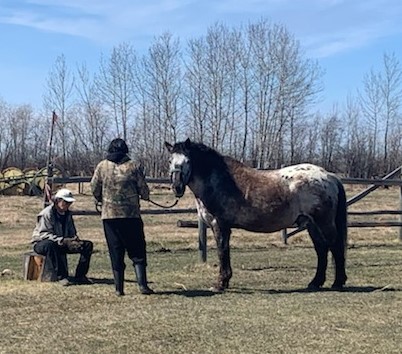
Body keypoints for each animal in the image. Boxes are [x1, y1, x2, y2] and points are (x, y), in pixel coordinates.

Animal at [165, 140, 348, 292]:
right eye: (170, 161)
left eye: (188, 161)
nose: (177, 187)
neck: (217, 181)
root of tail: (329, 176)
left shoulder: (220, 225)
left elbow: (222, 252)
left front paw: (220, 284)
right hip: (311, 224)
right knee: (321, 249)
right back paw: (315, 282)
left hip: (323, 223)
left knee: (335, 246)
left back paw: (337, 283)